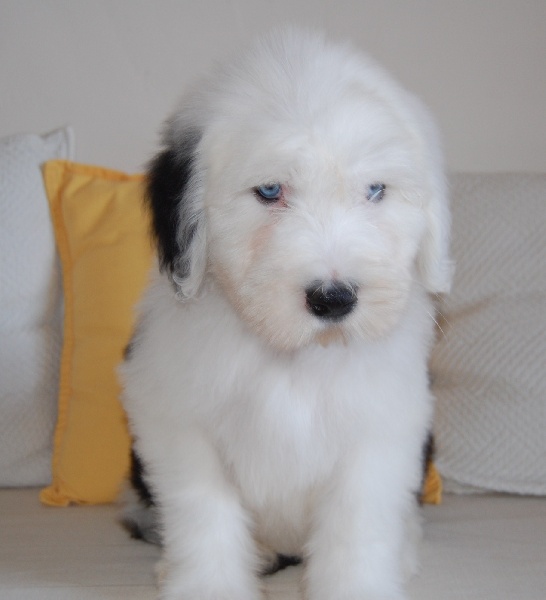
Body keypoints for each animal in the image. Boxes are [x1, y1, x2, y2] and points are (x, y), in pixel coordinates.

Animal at [120, 28, 452, 600]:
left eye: (375, 190)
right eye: (270, 191)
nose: (334, 298)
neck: (293, 355)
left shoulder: (381, 429)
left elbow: (356, 527)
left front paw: (356, 586)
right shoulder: (177, 420)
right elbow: (203, 514)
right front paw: (207, 586)